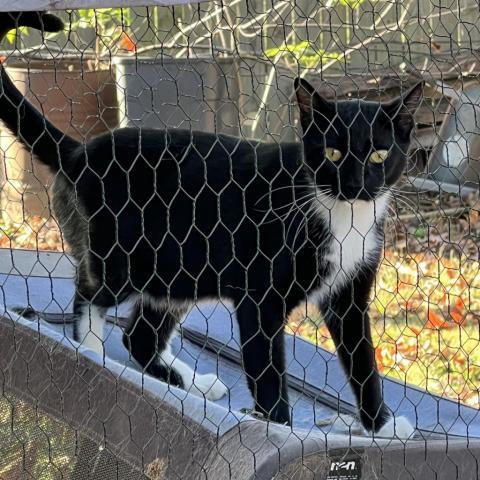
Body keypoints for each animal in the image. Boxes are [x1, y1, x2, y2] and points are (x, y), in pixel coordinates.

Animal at [0, 11, 420, 438]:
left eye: (380, 154)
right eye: (333, 153)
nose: (354, 184)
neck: (339, 214)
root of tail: (79, 152)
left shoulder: (350, 294)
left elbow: (363, 362)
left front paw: (382, 426)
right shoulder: (260, 296)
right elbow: (267, 368)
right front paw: (278, 426)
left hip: (179, 268)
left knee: (139, 336)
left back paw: (189, 382)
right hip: (122, 256)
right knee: (89, 295)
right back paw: (91, 351)